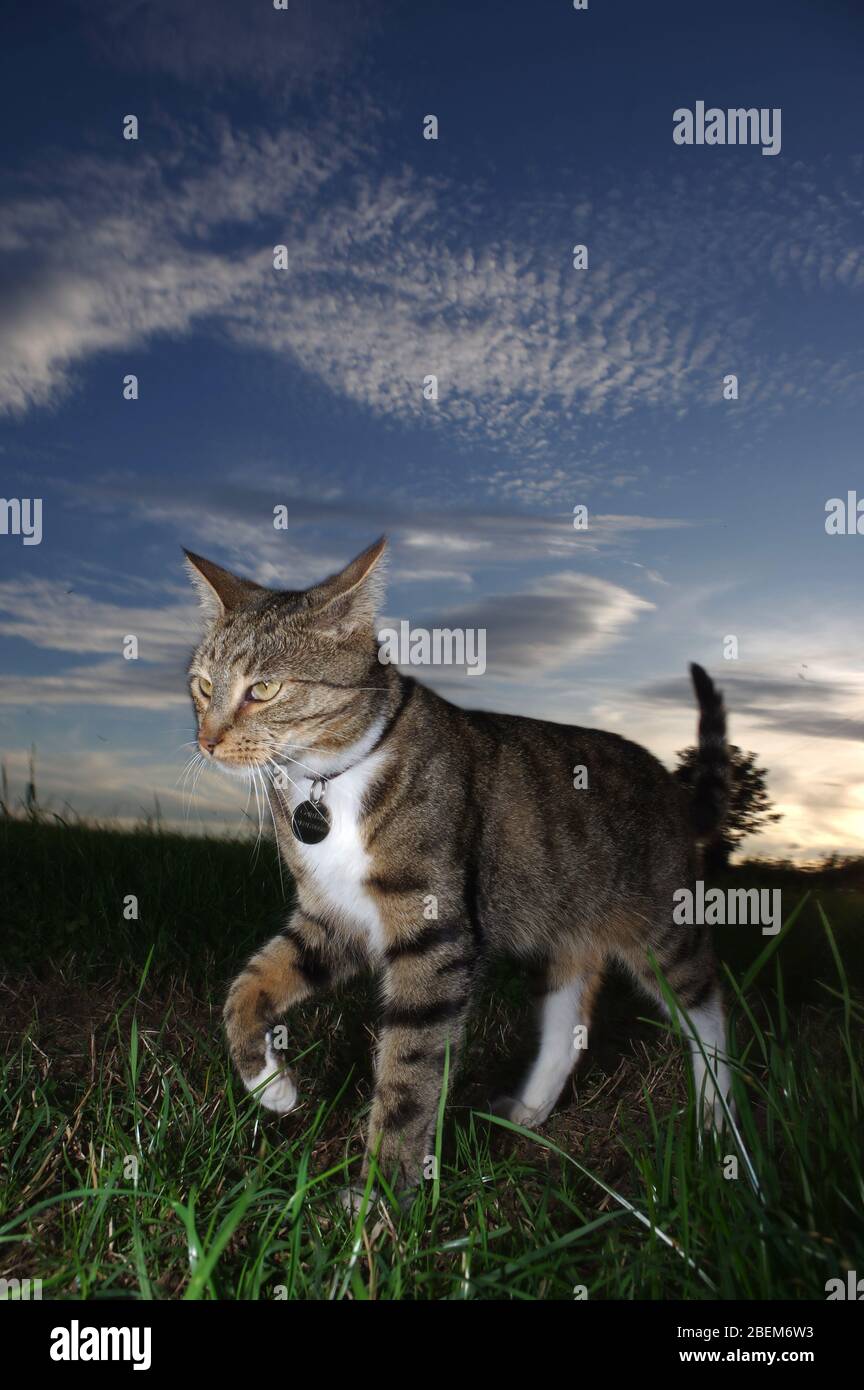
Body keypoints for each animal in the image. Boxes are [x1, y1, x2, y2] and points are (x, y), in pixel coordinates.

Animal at [186, 536, 733, 1189]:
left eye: (263, 690)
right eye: (201, 685)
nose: (206, 741)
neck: (329, 779)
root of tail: (674, 786)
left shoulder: (435, 932)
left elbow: (409, 1071)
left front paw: (379, 1199)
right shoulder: (332, 917)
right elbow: (247, 985)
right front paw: (269, 1084)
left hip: (661, 923)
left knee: (708, 1007)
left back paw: (717, 1123)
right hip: (560, 926)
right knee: (567, 1029)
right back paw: (529, 1111)